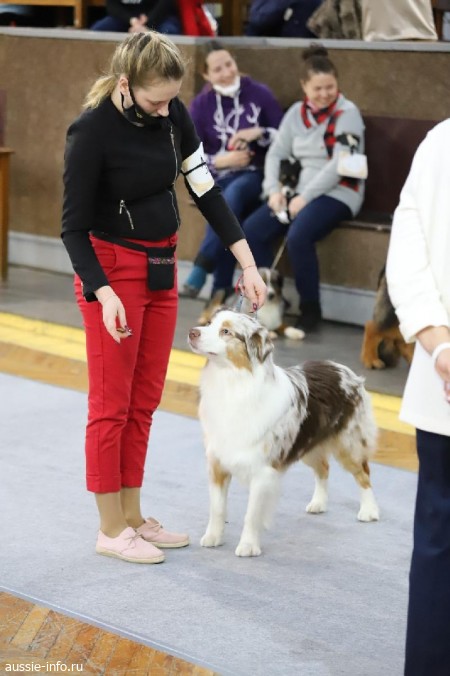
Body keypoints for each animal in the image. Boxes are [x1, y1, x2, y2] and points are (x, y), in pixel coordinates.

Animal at [188, 309, 380, 557]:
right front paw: (213, 537)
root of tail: (342, 368)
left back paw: (370, 510)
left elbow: (251, 515)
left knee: (363, 473)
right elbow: (217, 508)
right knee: (324, 468)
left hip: (349, 444)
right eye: (209, 323)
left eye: (226, 331)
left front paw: (248, 546)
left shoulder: (262, 470)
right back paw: (319, 503)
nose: (192, 332)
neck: (234, 382)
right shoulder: (218, 462)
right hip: (308, 445)